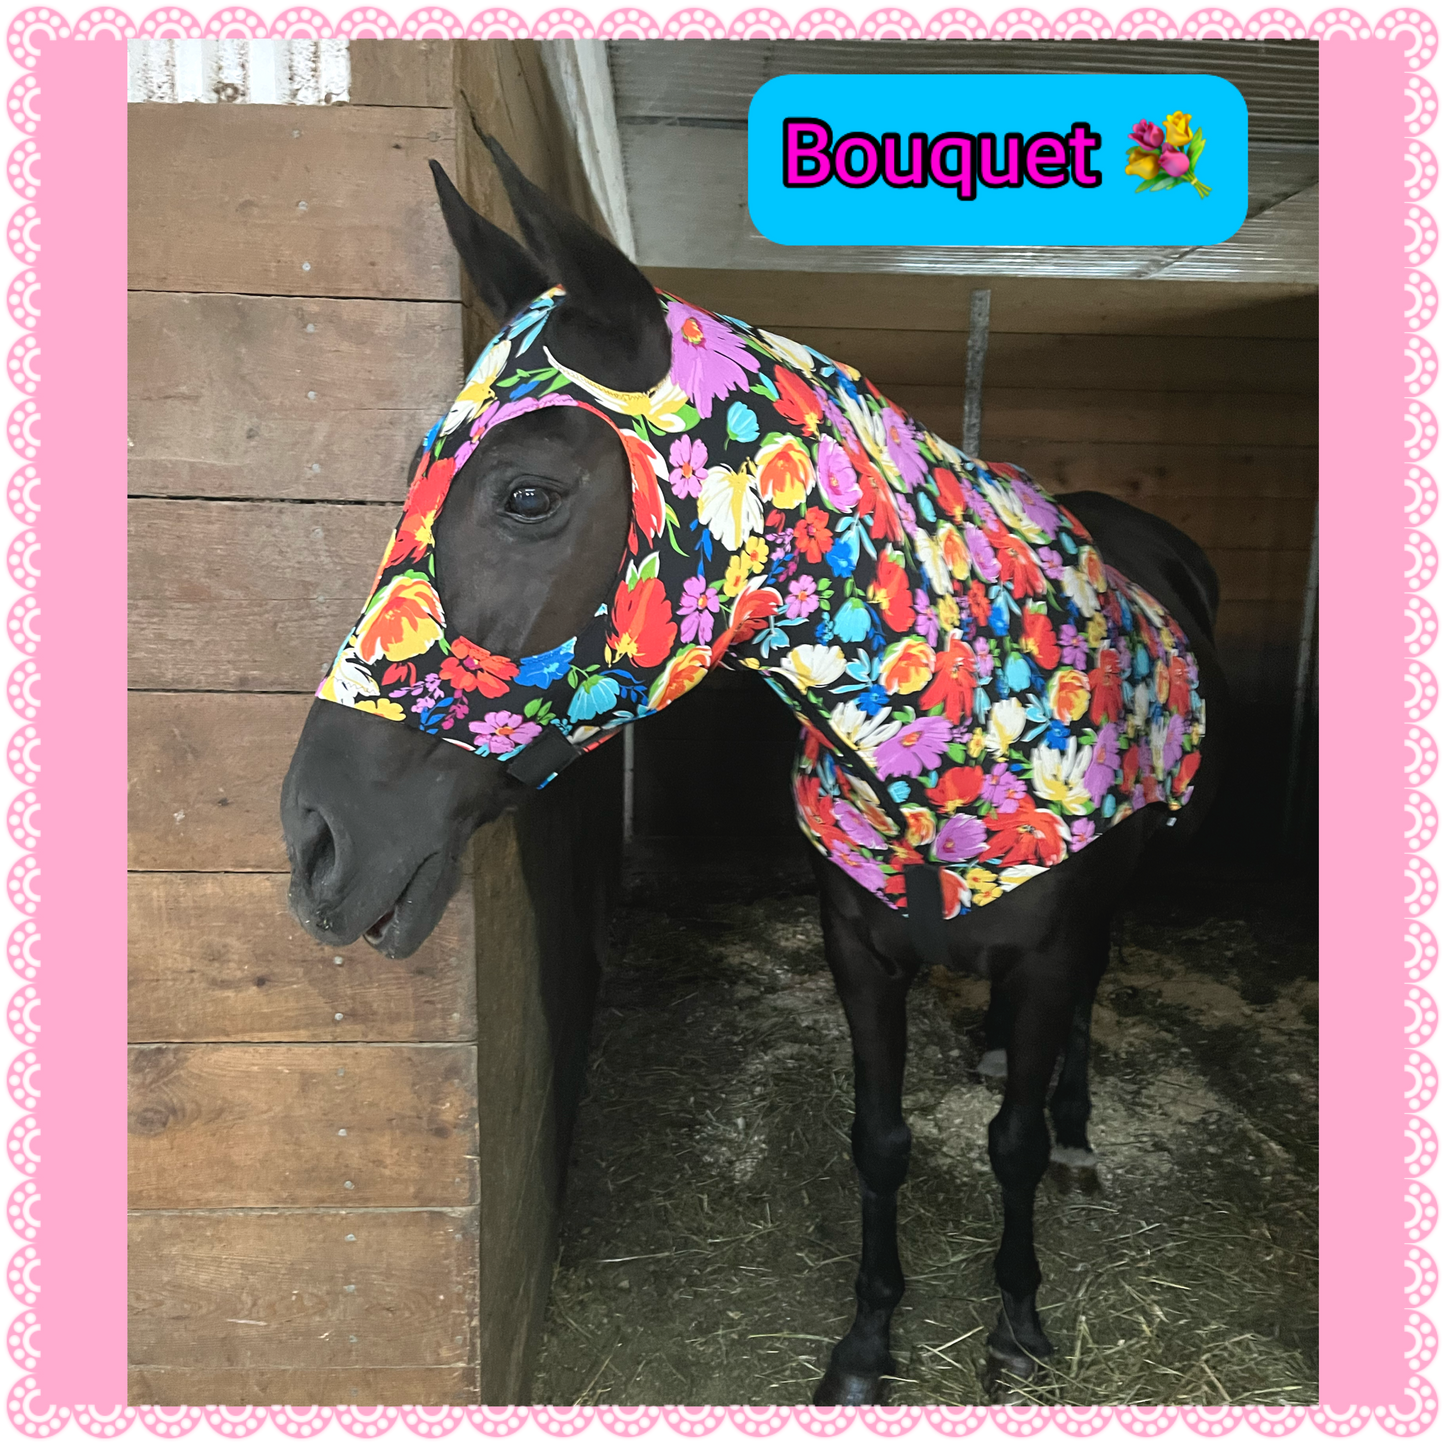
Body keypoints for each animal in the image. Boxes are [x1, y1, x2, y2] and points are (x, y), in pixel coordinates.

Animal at [281, 137, 1227, 1406]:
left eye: (526, 494)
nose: (316, 837)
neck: (938, 755)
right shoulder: (858, 950)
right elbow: (878, 1141)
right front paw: (865, 1344)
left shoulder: (1044, 951)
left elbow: (1012, 1140)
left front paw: (1017, 1320)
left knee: (1080, 1012)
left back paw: (1074, 1123)